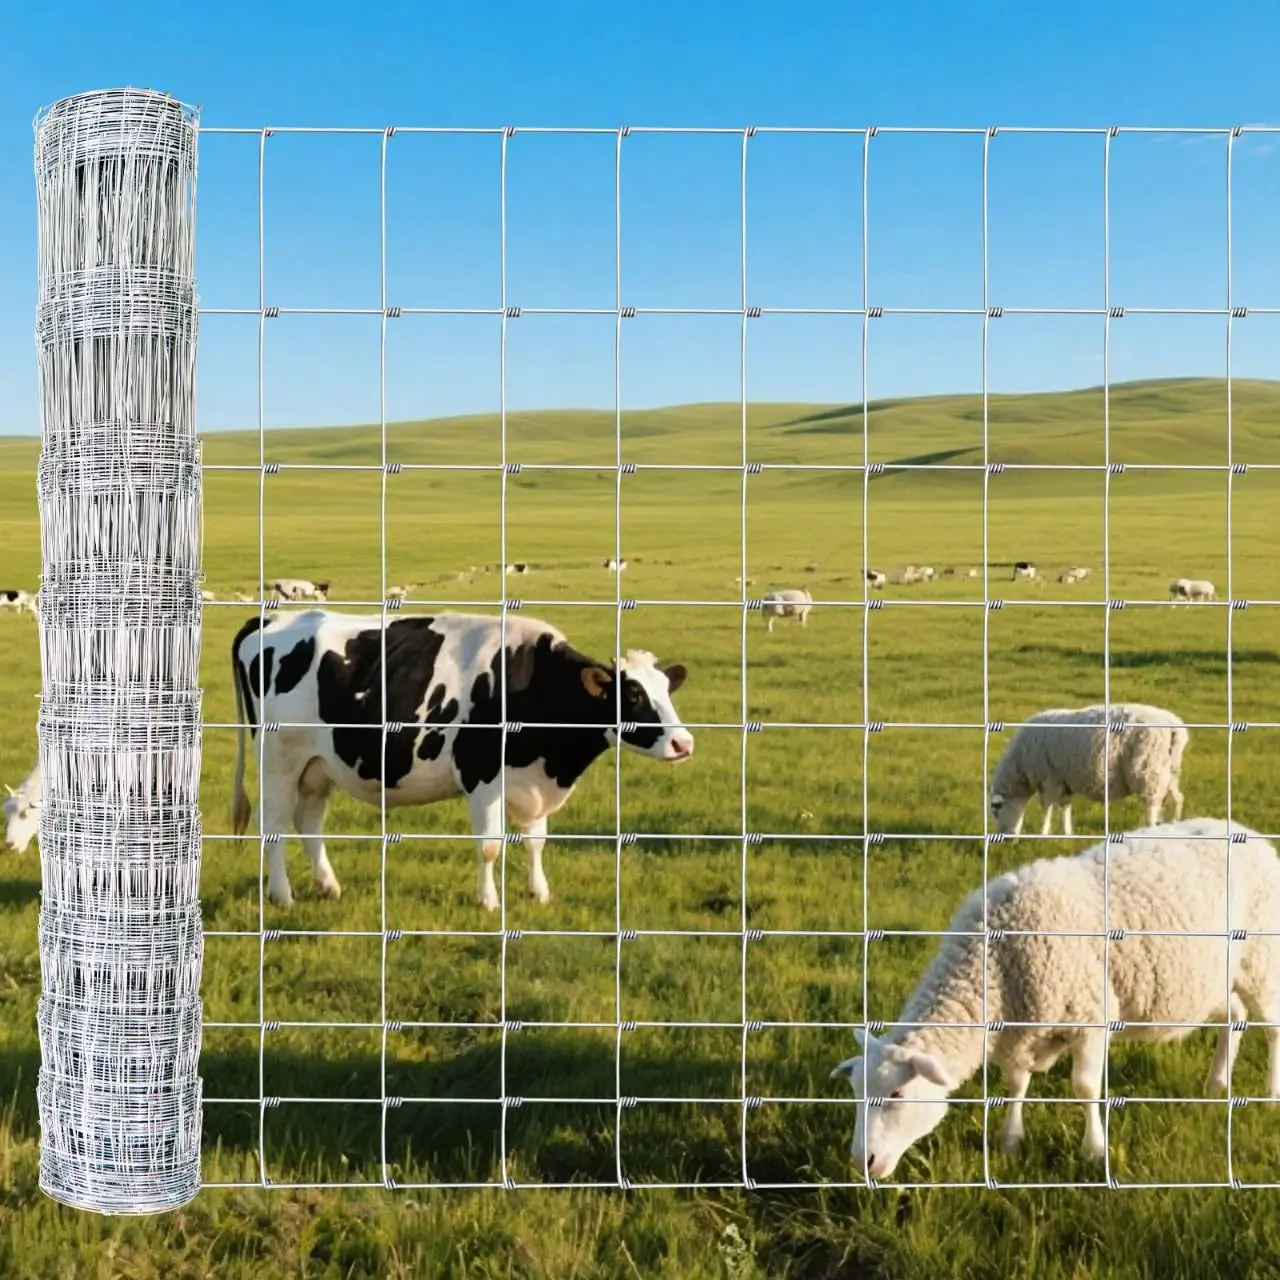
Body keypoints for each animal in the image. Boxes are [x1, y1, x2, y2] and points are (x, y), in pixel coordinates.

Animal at [230, 610, 694, 912]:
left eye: (666, 690)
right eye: (632, 694)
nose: (683, 743)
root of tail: (269, 620)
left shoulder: (533, 783)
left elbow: (536, 841)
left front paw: (539, 893)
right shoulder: (481, 776)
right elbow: (489, 846)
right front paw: (488, 901)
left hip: (318, 765)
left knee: (308, 822)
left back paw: (328, 887)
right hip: (279, 759)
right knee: (273, 825)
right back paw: (282, 896)